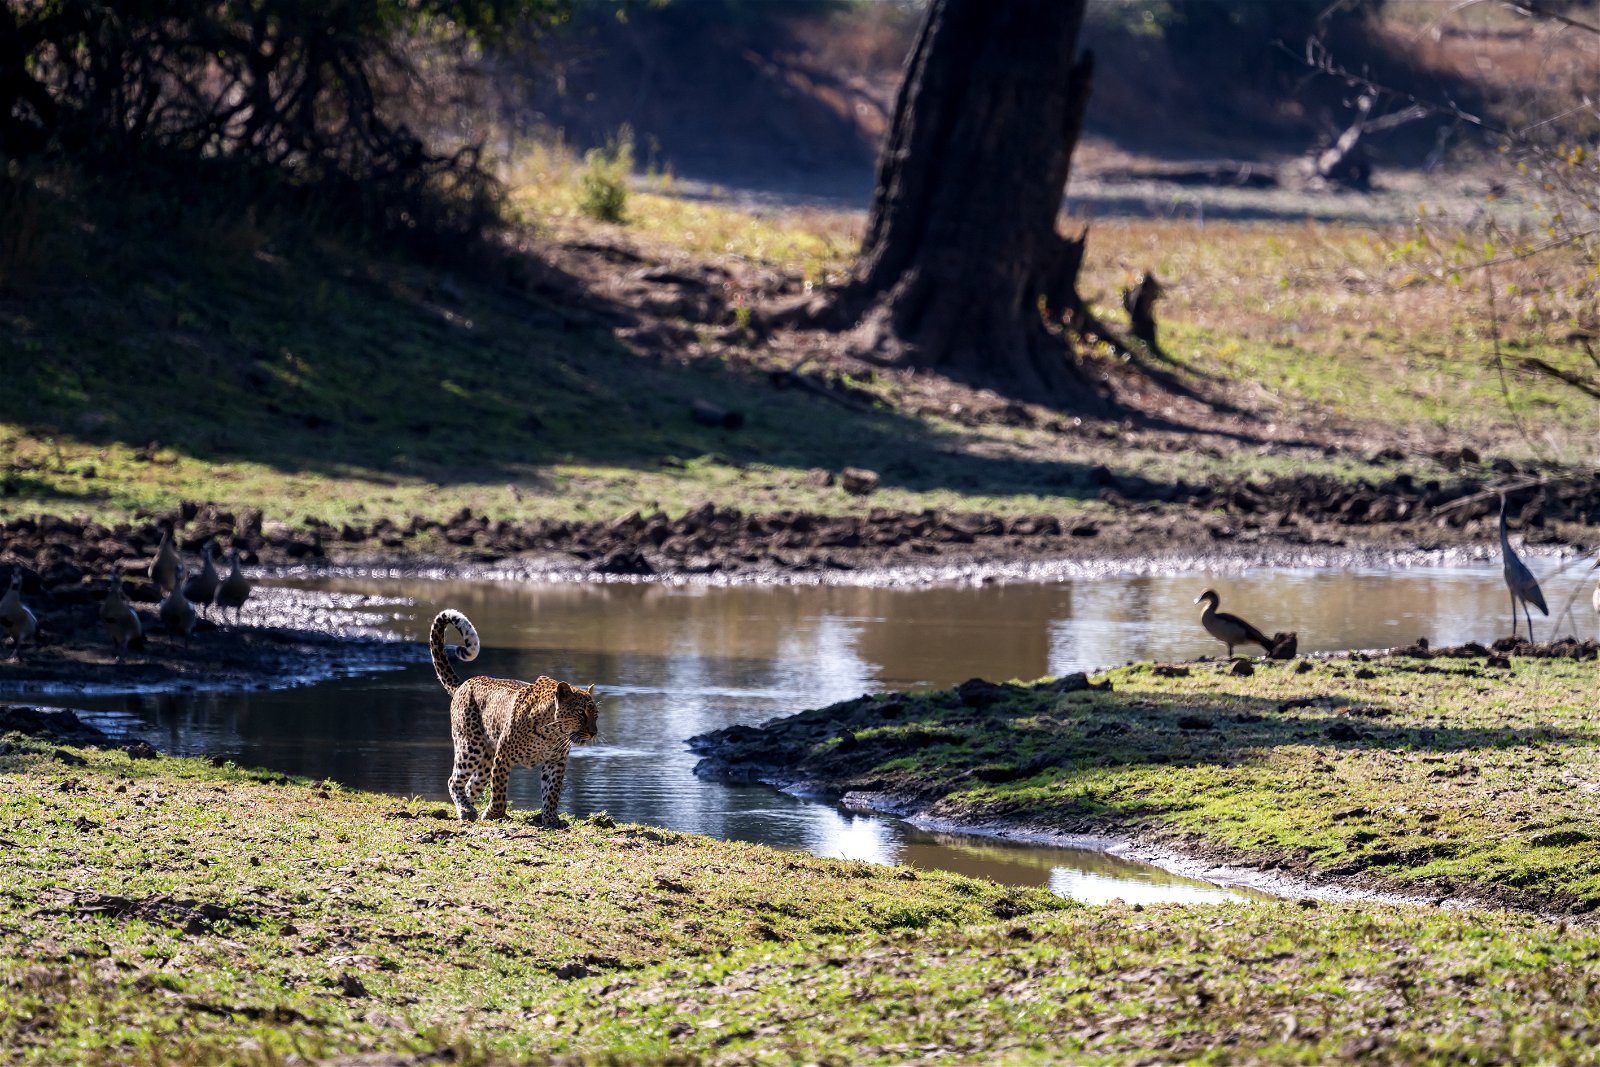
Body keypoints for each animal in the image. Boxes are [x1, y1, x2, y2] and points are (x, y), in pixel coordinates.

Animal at [429, 609, 599, 825]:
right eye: (580, 713)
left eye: (596, 714)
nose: (594, 733)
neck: (553, 732)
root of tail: (463, 685)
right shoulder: (503, 757)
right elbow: (499, 792)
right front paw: (494, 814)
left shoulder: (556, 762)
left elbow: (552, 793)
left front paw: (551, 819)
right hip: (470, 747)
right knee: (454, 781)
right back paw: (466, 811)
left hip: (486, 758)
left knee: (470, 785)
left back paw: (467, 808)